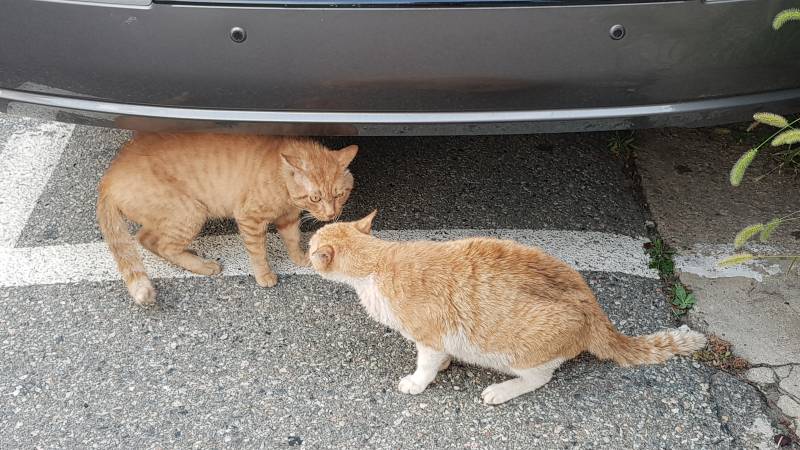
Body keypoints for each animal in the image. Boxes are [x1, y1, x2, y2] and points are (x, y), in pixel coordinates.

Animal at [97, 131, 356, 306]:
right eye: (315, 197)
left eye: (339, 194)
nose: (331, 214)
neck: (282, 180)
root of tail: (108, 177)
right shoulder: (249, 218)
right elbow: (258, 252)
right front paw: (264, 275)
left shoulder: (288, 218)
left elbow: (292, 239)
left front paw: (301, 257)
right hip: (190, 212)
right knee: (160, 243)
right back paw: (203, 266)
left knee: (145, 238)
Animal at [306, 213, 708, 406]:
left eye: (310, 247)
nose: (304, 248)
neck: (379, 262)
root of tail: (595, 311)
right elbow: (440, 357)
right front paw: (446, 364)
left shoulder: (430, 335)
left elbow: (425, 364)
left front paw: (418, 381)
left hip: (520, 351)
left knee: (540, 377)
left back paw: (502, 390)